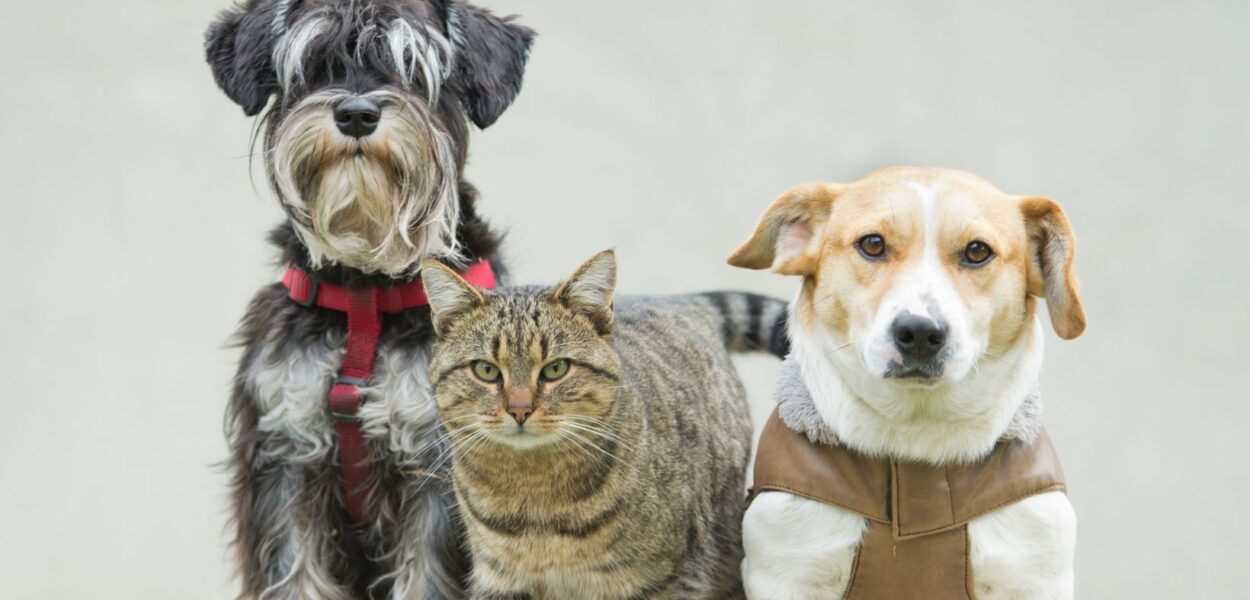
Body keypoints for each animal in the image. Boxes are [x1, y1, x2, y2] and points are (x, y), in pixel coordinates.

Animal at [204, 1, 533, 598]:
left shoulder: (440, 471)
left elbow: (427, 576)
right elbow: (293, 572)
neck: (367, 296)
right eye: (313, 65)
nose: (356, 114)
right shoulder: (285, 454)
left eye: (414, 69)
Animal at [419, 250, 788, 600]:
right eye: (486, 370)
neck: (536, 500)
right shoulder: (499, 578)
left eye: (555, 369)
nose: (520, 410)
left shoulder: (668, 579)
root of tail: (682, 302)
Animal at [729, 167, 1085, 599]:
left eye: (977, 251)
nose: (919, 332)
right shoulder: (788, 570)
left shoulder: (1034, 571)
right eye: (872, 244)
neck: (916, 443)